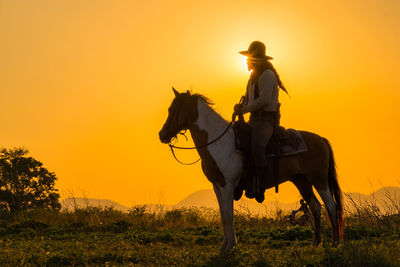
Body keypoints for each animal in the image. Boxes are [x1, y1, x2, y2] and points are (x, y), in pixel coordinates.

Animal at [159, 88, 344, 251]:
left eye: (174, 110)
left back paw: (335, 242)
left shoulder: (227, 185)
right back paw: (316, 242)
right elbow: (223, 215)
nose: (162, 135)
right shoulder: (217, 185)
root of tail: (321, 139)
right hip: (301, 181)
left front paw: (230, 246)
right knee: (315, 206)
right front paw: (224, 245)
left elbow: (228, 215)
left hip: (319, 180)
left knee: (331, 206)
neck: (218, 142)